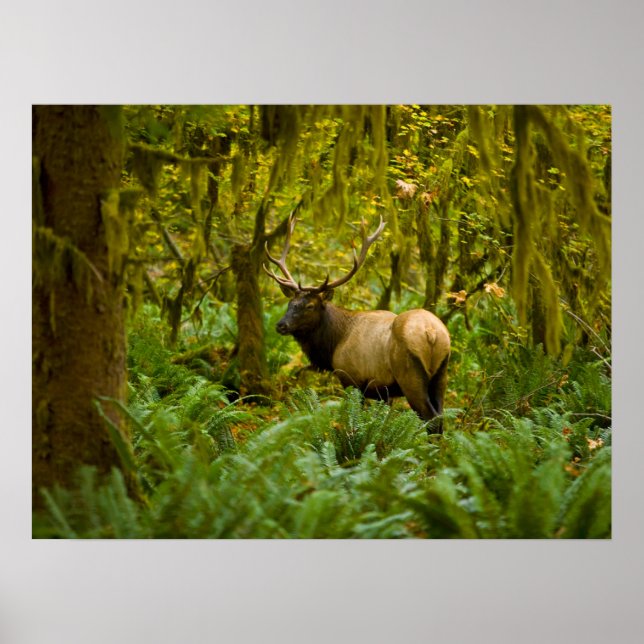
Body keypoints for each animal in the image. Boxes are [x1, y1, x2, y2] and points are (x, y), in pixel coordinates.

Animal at [263, 213, 451, 433]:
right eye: (290, 303)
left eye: (310, 306)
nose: (281, 325)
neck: (334, 344)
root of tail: (432, 333)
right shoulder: (383, 392)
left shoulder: (351, 378)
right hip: (441, 373)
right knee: (440, 417)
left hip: (410, 373)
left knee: (431, 418)